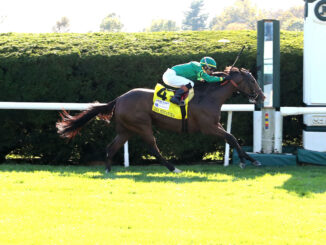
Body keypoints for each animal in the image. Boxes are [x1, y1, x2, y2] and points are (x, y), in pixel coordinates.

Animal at [56, 67, 264, 172]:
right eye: (252, 80)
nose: (262, 96)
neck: (209, 96)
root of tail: (119, 98)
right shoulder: (208, 127)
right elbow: (231, 138)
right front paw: (248, 161)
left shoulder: (216, 124)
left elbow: (232, 138)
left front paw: (250, 160)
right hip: (142, 125)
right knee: (153, 148)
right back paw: (173, 168)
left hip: (126, 129)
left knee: (112, 147)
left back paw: (108, 170)